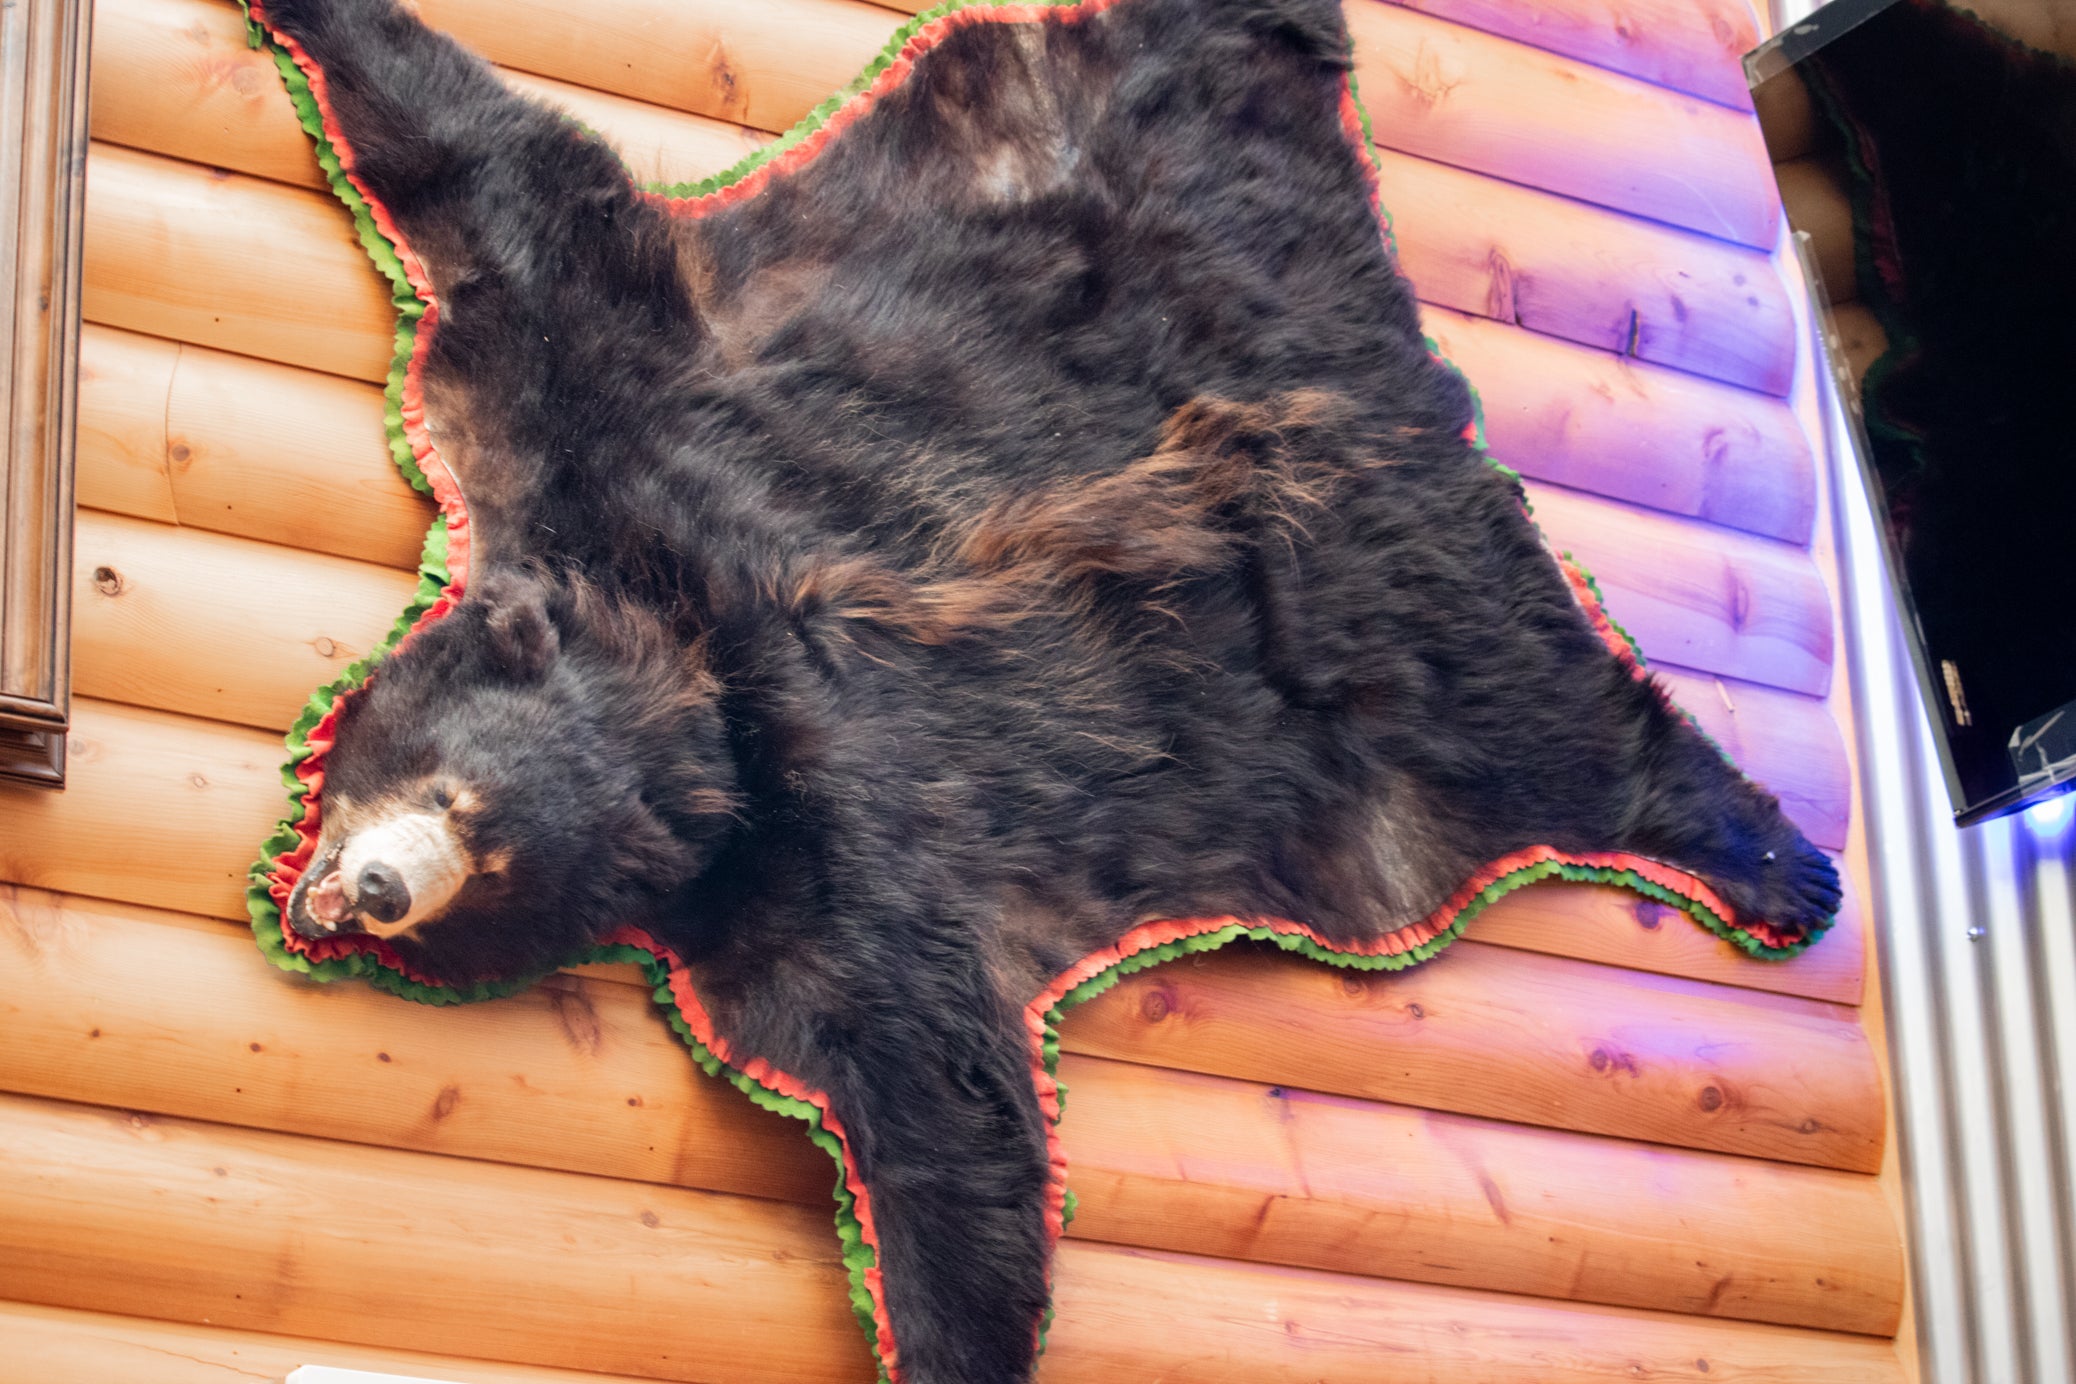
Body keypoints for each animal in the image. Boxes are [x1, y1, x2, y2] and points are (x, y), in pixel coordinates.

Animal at [248, 0, 1842, 1379]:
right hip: (1100, 132)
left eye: (482, 842)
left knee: (1574, 736)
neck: (686, 654)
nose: (370, 891)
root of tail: (1395, 380)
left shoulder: (833, 854)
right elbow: (507, 186)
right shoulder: (600, 412)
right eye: (452, 798)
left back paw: (1782, 868)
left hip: (1416, 663)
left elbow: (946, 1116)